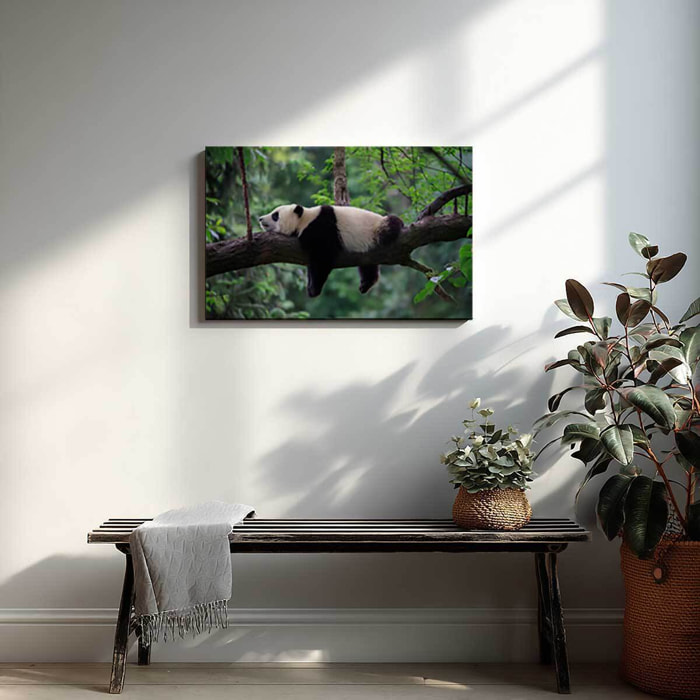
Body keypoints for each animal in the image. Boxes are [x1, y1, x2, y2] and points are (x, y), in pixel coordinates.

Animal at [258, 204, 403, 297]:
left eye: (275, 215)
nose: (260, 218)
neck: (305, 219)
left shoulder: (322, 228)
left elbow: (323, 258)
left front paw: (313, 289)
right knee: (368, 265)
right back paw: (366, 284)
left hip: (377, 228)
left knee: (391, 225)